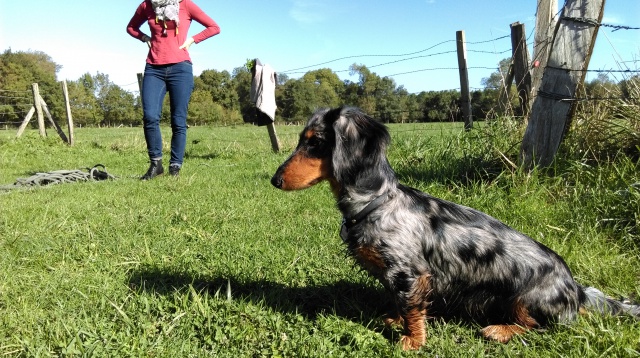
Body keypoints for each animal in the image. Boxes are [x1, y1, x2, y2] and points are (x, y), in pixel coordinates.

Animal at [270, 105, 640, 350]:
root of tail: (576, 289)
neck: (377, 203)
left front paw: (411, 340)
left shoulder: (410, 274)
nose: (274, 180)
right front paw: (396, 321)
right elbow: (400, 304)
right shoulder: (397, 278)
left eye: (315, 142)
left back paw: (500, 330)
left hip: (525, 297)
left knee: (541, 328)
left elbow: (412, 309)